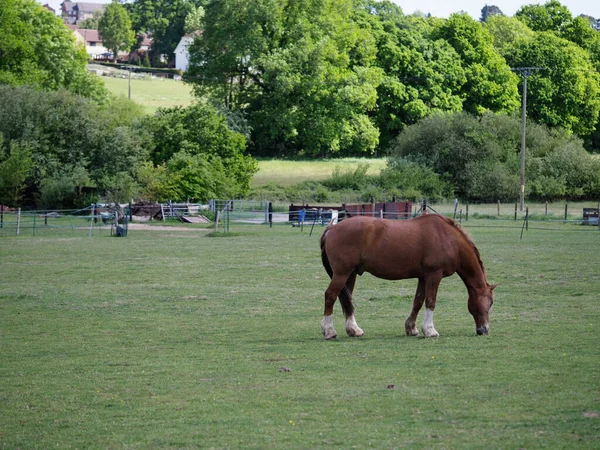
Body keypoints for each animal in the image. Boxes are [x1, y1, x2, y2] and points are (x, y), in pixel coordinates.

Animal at [318, 214, 496, 338]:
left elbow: (418, 301)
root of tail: (333, 228)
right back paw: (329, 331)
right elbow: (431, 301)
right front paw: (430, 330)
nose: (484, 330)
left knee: (346, 300)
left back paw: (353, 329)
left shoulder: (423, 277)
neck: (448, 238)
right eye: (491, 303)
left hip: (351, 274)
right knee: (330, 295)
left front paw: (412, 328)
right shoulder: (434, 275)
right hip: (342, 273)